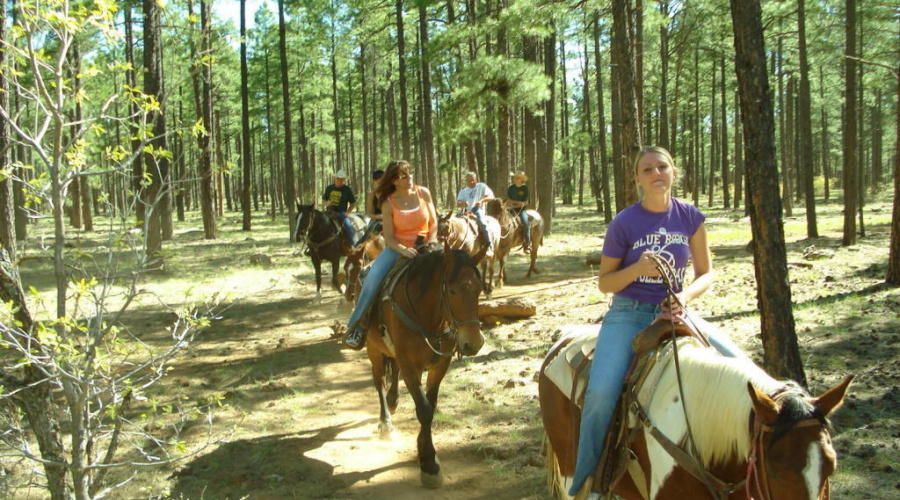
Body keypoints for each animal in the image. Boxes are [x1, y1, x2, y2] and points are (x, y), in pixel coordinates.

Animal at [362, 242, 488, 488]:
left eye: (479, 289)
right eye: (452, 290)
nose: (473, 343)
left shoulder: (440, 365)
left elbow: (430, 403)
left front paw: (424, 452)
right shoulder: (410, 366)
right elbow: (424, 409)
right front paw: (429, 463)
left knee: (392, 375)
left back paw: (393, 401)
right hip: (374, 350)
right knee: (379, 381)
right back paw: (386, 423)